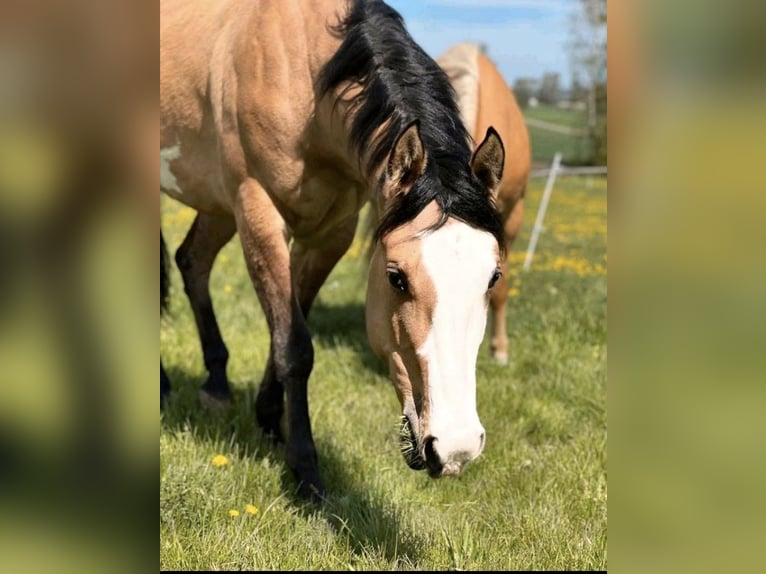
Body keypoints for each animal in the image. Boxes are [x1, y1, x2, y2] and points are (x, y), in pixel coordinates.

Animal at [160, 0, 507, 500]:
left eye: (493, 277)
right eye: (396, 278)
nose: (456, 446)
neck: (307, 77)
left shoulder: (330, 234)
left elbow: (286, 329)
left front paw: (270, 421)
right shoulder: (258, 211)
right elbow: (294, 346)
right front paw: (305, 470)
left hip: (216, 202)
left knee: (192, 261)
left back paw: (216, 385)